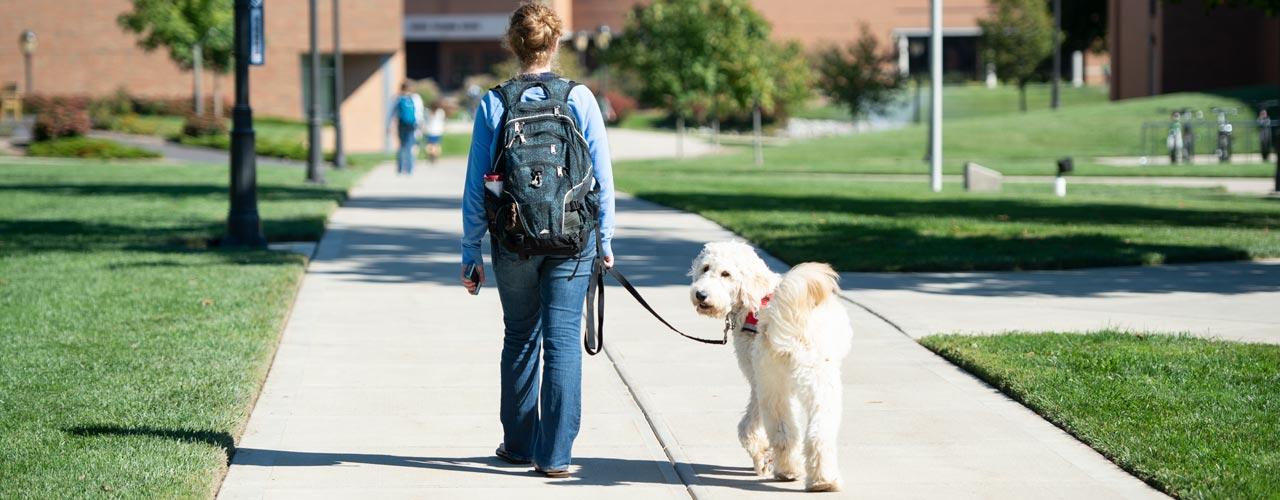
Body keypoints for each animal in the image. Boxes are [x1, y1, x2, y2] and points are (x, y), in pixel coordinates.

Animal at [691, 242, 849, 493]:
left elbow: (747, 427)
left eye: (726, 274)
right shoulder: (763, 382)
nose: (700, 295)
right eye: (705, 268)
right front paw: (763, 456)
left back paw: (798, 473)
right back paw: (812, 477)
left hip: (776, 382)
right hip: (799, 382)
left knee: (785, 429)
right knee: (802, 431)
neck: (754, 298)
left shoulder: (755, 380)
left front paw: (761, 455)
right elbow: (750, 426)